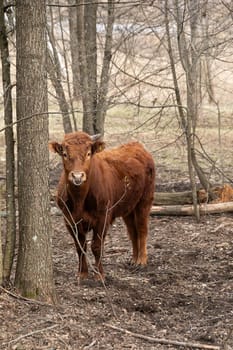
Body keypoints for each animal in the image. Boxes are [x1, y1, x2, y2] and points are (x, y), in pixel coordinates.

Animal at [49, 133, 155, 280]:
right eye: (64, 154)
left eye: (88, 153)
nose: (77, 176)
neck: (79, 200)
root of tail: (137, 146)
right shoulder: (69, 220)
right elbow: (80, 246)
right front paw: (82, 273)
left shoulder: (103, 218)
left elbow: (96, 246)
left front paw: (99, 275)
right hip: (128, 207)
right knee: (132, 231)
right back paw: (134, 259)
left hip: (145, 200)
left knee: (142, 229)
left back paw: (141, 260)